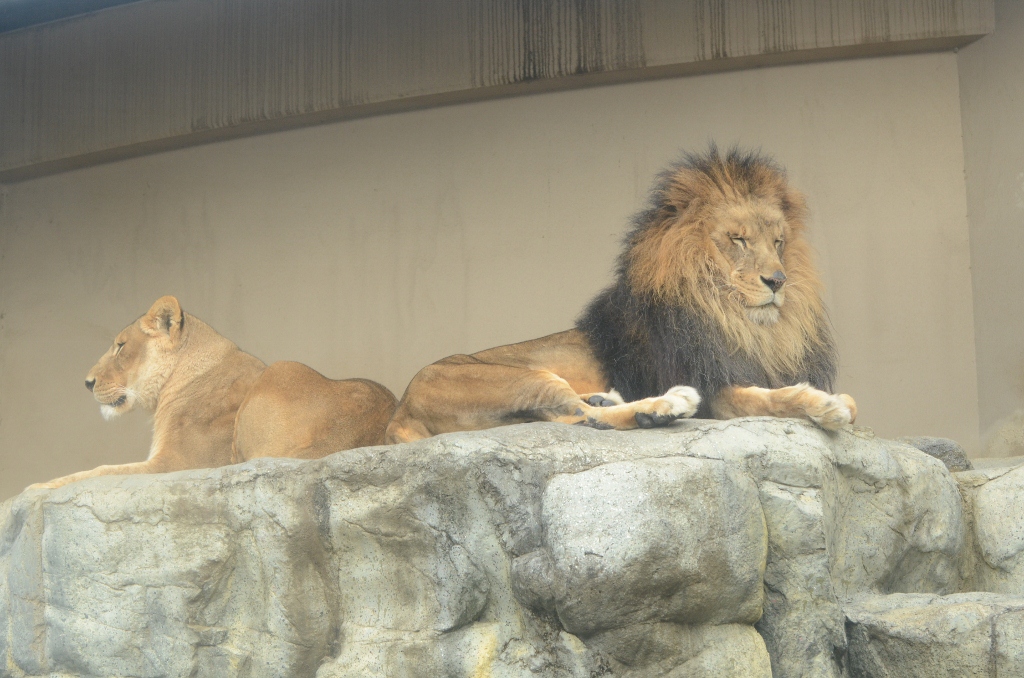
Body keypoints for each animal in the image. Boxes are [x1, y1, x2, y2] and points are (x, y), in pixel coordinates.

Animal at [29, 297, 397, 489]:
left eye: (120, 346)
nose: (87, 382)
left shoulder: (178, 464)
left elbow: (99, 471)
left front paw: (37, 488)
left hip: (283, 367)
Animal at [385, 147, 856, 446]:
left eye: (778, 242)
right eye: (738, 239)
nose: (777, 281)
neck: (733, 320)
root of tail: (399, 415)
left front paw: (837, 401)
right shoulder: (716, 389)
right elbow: (770, 397)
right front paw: (823, 404)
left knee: (579, 414)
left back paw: (622, 401)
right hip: (513, 379)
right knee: (582, 417)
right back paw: (666, 404)